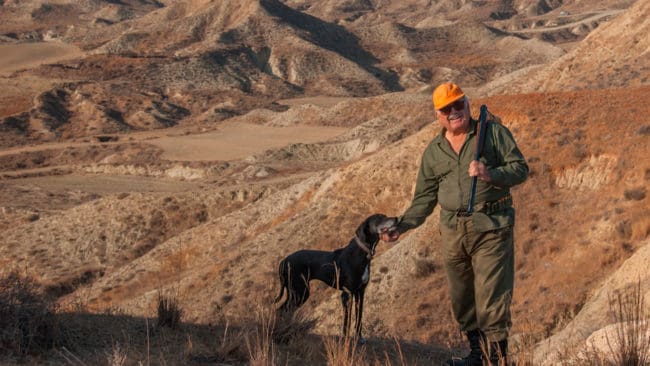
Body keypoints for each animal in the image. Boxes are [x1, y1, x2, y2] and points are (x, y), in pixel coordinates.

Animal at [272, 213, 398, 342]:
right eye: (379, 218)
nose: (396, 218)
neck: (362, 252)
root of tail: (284, 260)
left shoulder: (360, 292)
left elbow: (359, 316)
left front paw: (359, 337)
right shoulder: (347, 294)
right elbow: (347, 319)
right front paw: (346, 338)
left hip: (294, 291)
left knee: (284, 310)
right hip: (300, 292)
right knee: (283, 309)